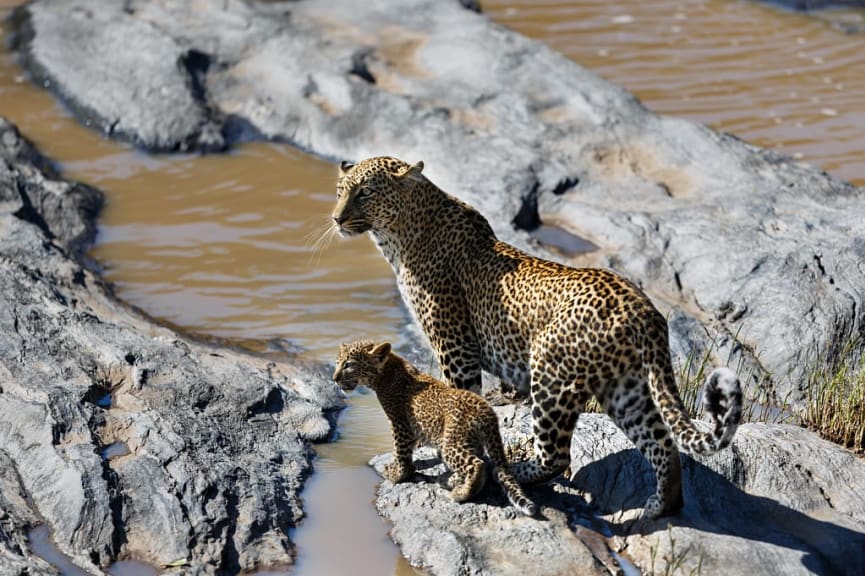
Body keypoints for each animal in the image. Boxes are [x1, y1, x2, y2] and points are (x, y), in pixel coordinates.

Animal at [330, 154, 744, 516]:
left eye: (365, 192)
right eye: (340, 191)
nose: (336, 218)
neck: (400, 238)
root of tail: (644, 309)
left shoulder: (455, 345)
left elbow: (457, 397)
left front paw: (455, 459)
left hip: (550, 373)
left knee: (557, 455)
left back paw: (513, 471)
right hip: (626, 387)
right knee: (662, 444)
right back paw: (659, 508)